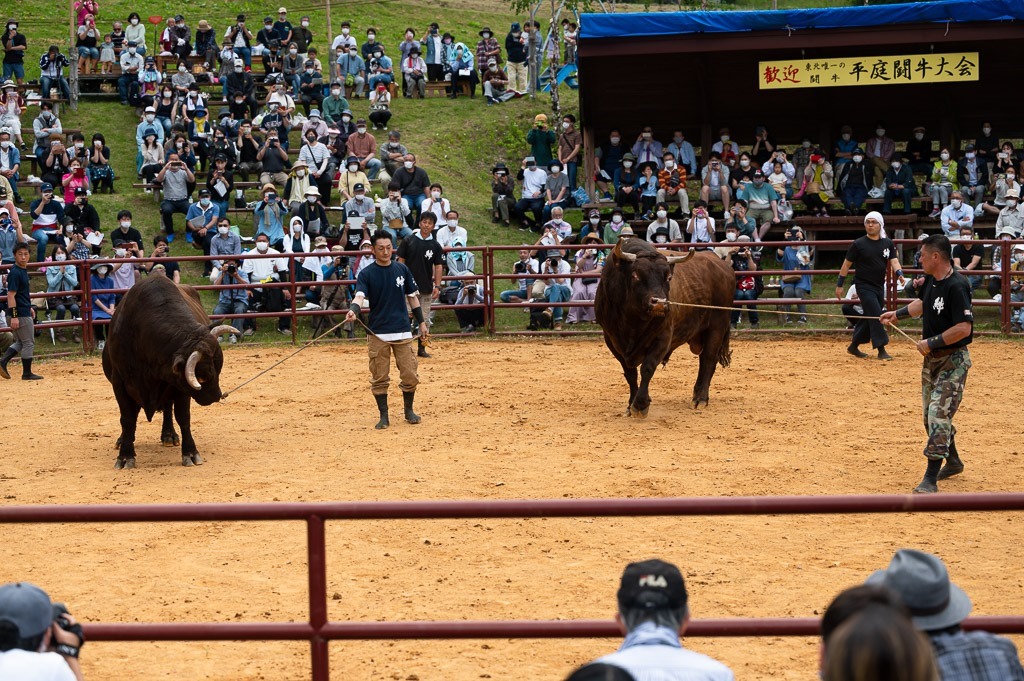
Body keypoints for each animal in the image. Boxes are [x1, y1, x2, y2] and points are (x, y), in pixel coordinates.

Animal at [102, 274, 237, 466]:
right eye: (202, 377)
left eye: (219, 369)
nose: (216, 396)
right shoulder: (119, 383)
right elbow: (127, 419)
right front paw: (125, 454)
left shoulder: (179, 386)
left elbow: (183, 417)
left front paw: (190, 452)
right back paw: (123, 439)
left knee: (167, 408)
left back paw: (168, 435)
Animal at [598, 238, 733, 419]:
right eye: (635, 275)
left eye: (668, 277)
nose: (660, 303)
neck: (633, 321)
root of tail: (722, 264)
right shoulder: (612, 339)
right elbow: (630, 373)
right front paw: (631, 403)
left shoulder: (663, 337)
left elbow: (647, 368)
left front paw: (641, 404)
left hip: (717, 327)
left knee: (708, 360)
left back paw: (700, 398)